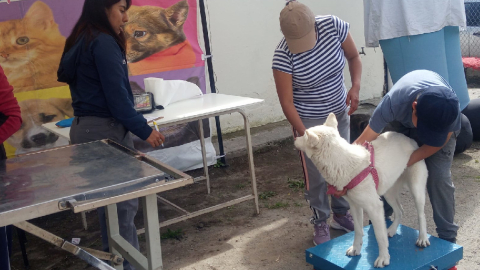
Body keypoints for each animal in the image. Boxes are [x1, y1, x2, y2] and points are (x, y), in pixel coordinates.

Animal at [294, 112, 430, 268]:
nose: (295, 138)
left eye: (303, 135)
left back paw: (422, 238)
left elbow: (379, 236)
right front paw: (356, 249)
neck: (343, 164)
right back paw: (392, 230)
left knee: (421, 214)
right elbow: (358, 230)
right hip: (388, 193)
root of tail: (410, 139)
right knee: (400, 210)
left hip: (416, 190)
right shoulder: (355, 206)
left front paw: (383, 258)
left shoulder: (375, 207)